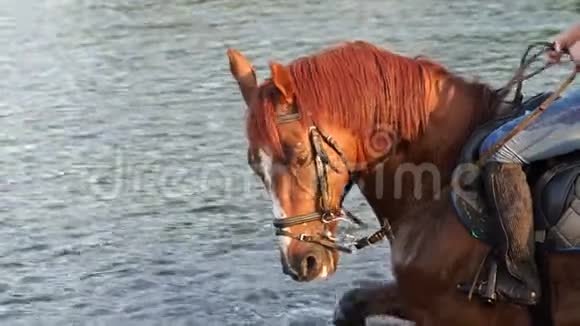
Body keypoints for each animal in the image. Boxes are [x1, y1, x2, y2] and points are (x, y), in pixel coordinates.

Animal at [228, 39, 580, 324]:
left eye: (299, 155)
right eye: (255, 166)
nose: (301, 263)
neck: (436, 188)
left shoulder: (456, 313)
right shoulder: (418, 301)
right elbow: (350, 304)